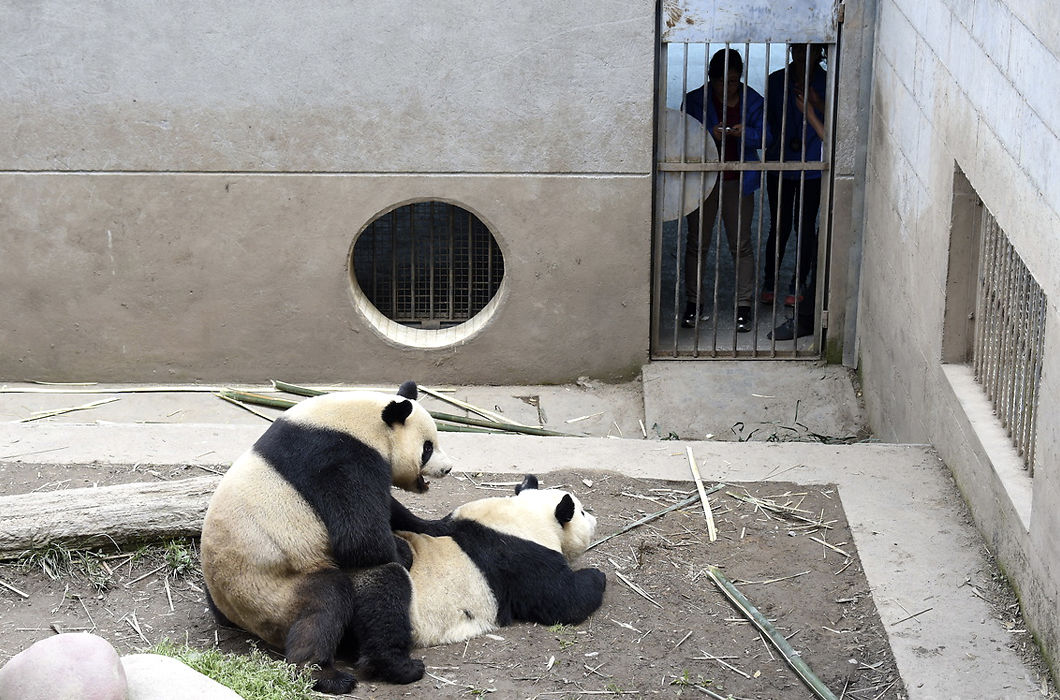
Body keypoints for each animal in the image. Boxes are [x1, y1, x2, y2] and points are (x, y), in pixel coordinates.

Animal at [200, 381, 453, 695]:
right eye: (427, 447)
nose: (448, 468)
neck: (365, 423)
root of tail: (241, 615)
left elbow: (390, 509)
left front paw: (434, 525)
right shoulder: (339, 460)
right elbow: (361, 538)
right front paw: (402, 551)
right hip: (277, 588)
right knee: (328, 603)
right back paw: (334, 673)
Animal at [392, 473, 610, 649]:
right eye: (581, 512)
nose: (595, 521)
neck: (526, 514)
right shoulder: (521, 558)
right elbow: (563, 599)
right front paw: (598, 575)